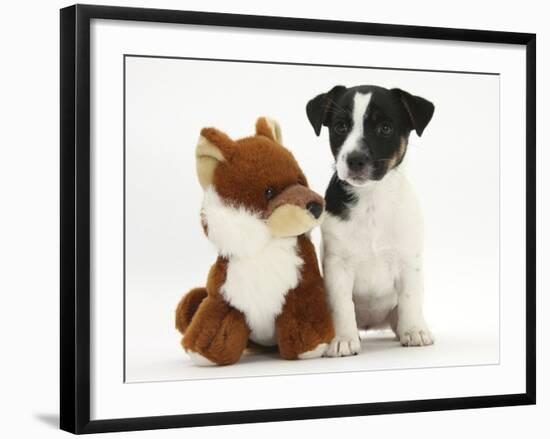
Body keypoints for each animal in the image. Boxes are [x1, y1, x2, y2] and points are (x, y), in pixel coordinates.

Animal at [306, 85, 436, 358]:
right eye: (340, 126)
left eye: (385, 128)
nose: (355, 159)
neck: (371, 199)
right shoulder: (337, 266)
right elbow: (341, 305)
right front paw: (343, 339)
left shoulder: (408, 261)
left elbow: (410, 297)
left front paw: (414, 331)